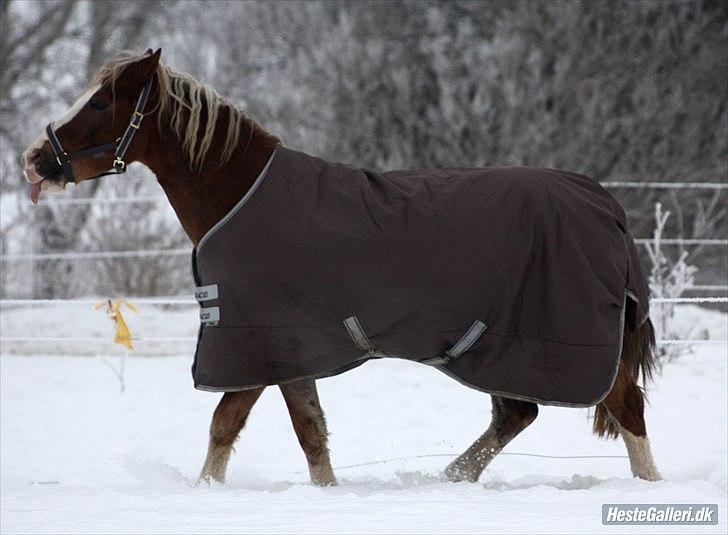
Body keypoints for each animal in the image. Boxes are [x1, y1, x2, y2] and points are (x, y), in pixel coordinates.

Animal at [21, 50, 660, 486]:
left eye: (101, 102)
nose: (35, 159)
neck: (240, 196)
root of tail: (607, 206)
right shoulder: (289, 353)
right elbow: (310, 435)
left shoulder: (261, 344)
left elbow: (230, 424)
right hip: (503, 349)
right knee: (518, 414)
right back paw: (449, 479)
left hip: (555, 348)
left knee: (624, 410)